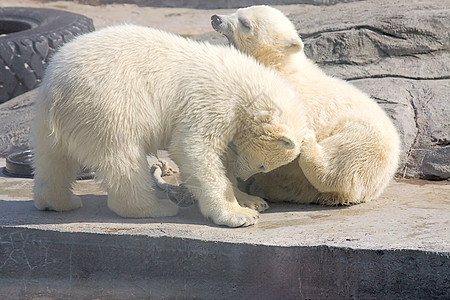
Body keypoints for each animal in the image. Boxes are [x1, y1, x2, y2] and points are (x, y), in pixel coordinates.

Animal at [30, 24, 306, 227]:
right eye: (263, 165)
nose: (244, 175)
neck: (247, 84)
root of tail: (56, 89)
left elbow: (221, 155)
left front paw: (251, 200)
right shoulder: (210, 99)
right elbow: (194, 149)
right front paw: (238, 214)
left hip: (51, 120)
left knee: (52, 160)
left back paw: (59, 201)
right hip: (108, 105)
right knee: (123, 158)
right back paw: (154, 207)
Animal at [212, 5, 400, 205]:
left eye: (245, 23)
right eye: (238, 10)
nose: (216, 19)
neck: (278, 66)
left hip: (365, 140)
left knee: (340, 163)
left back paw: (308, 149)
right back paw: (264, 186)